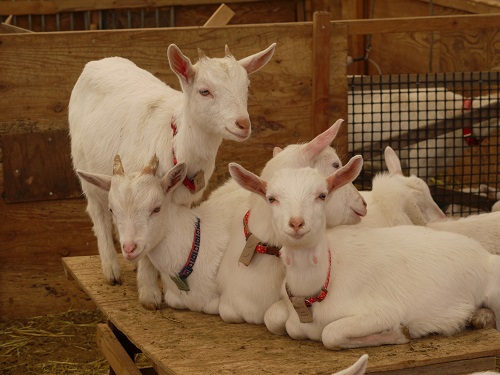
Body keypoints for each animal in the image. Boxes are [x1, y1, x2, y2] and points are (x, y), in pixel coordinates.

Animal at [68, 41, 276, 288]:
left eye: (246, 87)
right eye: (204, 91)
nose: (243, 124)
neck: (176, 145)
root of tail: (98, 62)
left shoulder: (183, 201)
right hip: (82, 164)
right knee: (97, 211)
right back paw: (111, 269)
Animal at [229, 163, 500, 352]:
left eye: (322, 195)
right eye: (271, 198)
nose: (296, 223)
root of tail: (484, 254)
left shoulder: (382, 311)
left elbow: (331, 334)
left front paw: (399, 333)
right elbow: (279, 321)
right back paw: (479, 316)